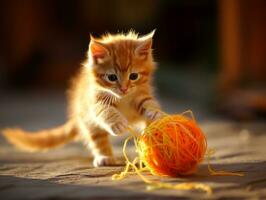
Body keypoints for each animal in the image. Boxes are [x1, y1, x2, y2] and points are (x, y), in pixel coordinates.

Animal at [2, 30, 161, 166]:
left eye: (133, 76)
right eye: (112, 77)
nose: (124, 89)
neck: (122, 98)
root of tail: (76, 114)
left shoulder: (140, 93)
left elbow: (148, 102)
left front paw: (155, 112)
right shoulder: (93, 100)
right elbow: (104, 110)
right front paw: (116, 123)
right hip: (88, 121)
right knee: (97, 139)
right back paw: (105, 157)